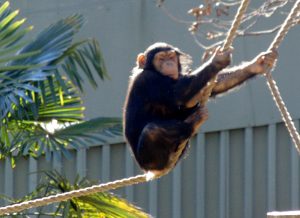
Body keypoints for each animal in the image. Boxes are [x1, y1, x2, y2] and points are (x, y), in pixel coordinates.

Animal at [123, 42, 278, 175]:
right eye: (161, 58)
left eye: (171, 57)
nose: (169, 63)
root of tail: (151, 171)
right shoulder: (148, 80)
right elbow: (178, 93)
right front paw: (217, 60)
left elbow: (214, 85)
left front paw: (258, 64)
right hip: (149, 161)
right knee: (152, 130)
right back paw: (194, 120)